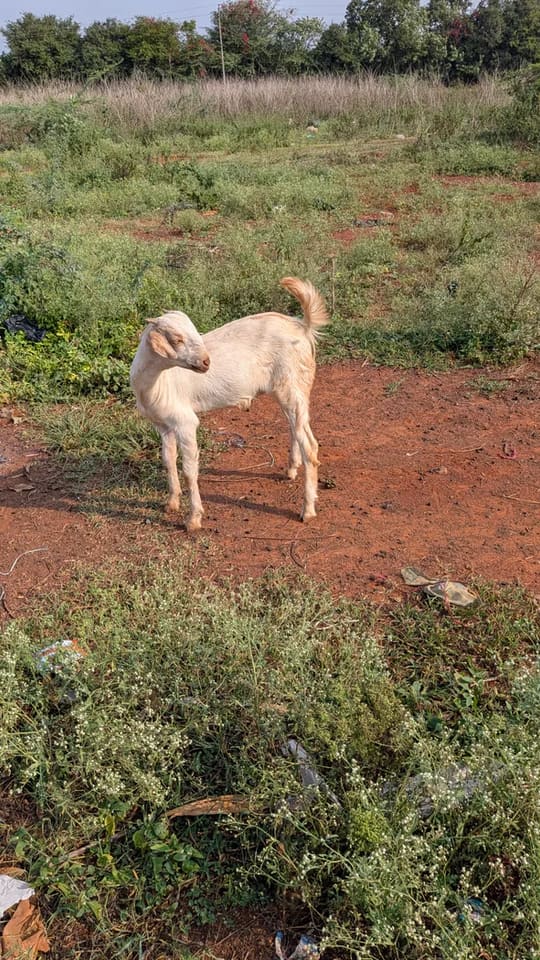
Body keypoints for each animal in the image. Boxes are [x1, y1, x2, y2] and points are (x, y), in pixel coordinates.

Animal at [130, 277, 329, 532]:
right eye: (177, 339)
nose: (206, 362)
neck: (156, 381)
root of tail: (302, 327)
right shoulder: (163, 424)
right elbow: (168, 460)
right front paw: (172, 502)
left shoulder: (185, 422)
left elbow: (189, 470)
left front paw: (193, 519)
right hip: (292, 390)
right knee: (296, 427)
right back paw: (292, 470)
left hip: (292, 384)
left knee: (310, 446)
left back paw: (308, 510)